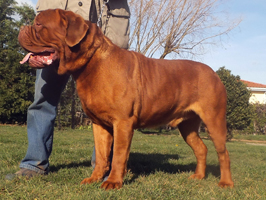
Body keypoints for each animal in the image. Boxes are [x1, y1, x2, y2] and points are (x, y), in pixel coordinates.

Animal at [18, 9, 233, 189]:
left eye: (39, 24)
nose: (21, 28)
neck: (92, 63)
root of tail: (213, 73)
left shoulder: (122, 122)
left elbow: (118, 156)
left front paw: (113, 182)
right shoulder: (99, 124)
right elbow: (102, 155)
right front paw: (95, 178)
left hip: (214, 120)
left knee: (223, 153)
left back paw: (226, 183)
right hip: (187, 126)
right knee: (201, 148)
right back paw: (198, 176)